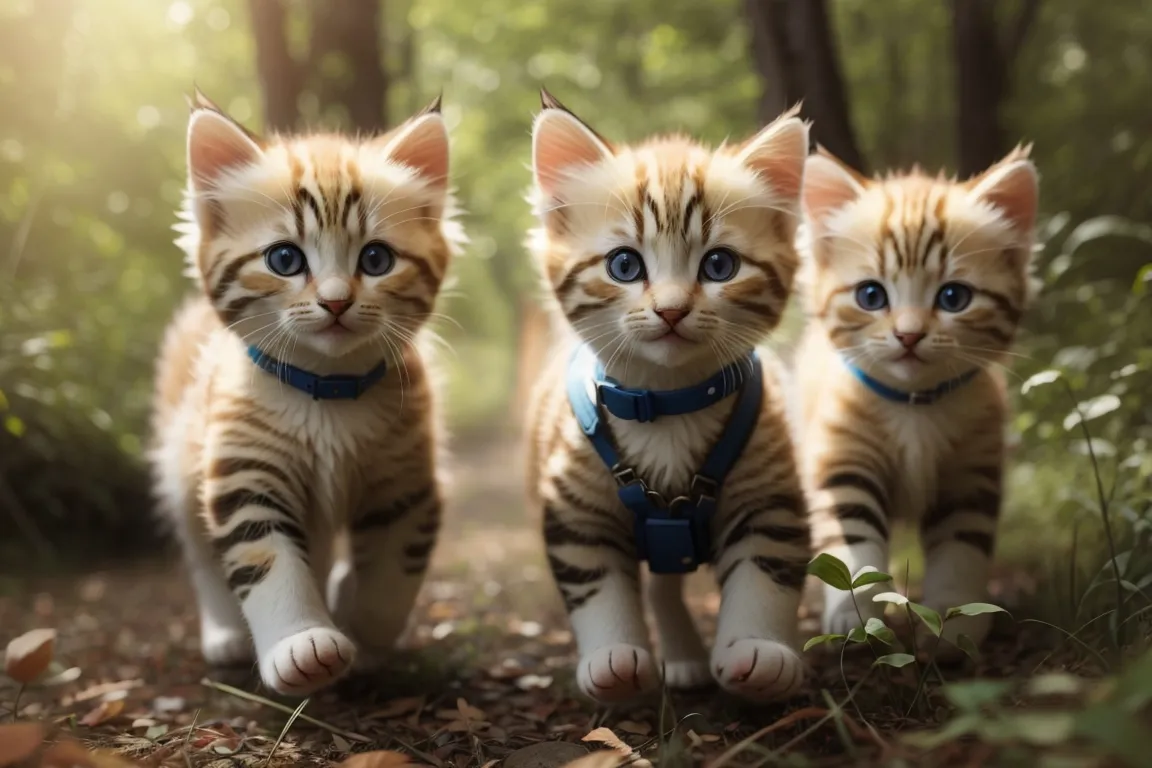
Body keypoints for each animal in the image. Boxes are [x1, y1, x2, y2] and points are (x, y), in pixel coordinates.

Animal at [150, 91, 460, 695]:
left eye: (376, 259)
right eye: (285, 259)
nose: (336, 301)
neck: (329, 392)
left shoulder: (408, 482)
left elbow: (394, 573)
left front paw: (365, 634)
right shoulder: (244, 470)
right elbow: (268, 562)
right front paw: (301, 644)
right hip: (180, 459)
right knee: (200, 552)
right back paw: (225, 632)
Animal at [523, 90, 811, 704]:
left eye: (720, 265)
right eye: (624, 265)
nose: (673, 310)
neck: (667, 406)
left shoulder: (769, 491)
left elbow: (766, 571)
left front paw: (759, 651)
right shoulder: (574, 508)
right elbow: (596, 583)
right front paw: (612, 656)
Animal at [797, 145, 1041, 654]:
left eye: (953, 297)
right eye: (871, 295)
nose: (908, 335)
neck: (913, 407)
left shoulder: (970, 472)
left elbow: (961, 550)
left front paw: (955, 625)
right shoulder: (841, 458)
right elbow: (855, 546)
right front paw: (856, 617)